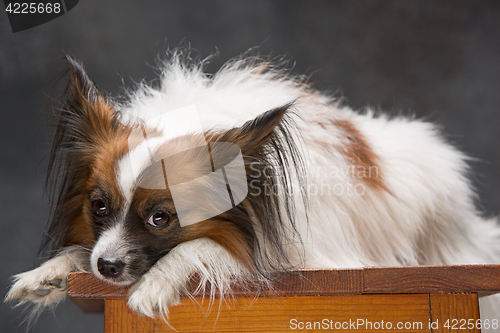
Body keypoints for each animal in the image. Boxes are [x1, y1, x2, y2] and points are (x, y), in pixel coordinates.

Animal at [4, 50, 500, 326]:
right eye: (99, 207)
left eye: (160, 218)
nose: (106, 267)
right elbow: (77, 251)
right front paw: (51, 271)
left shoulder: (304, 261)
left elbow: (206, 248)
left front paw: (156, 284)